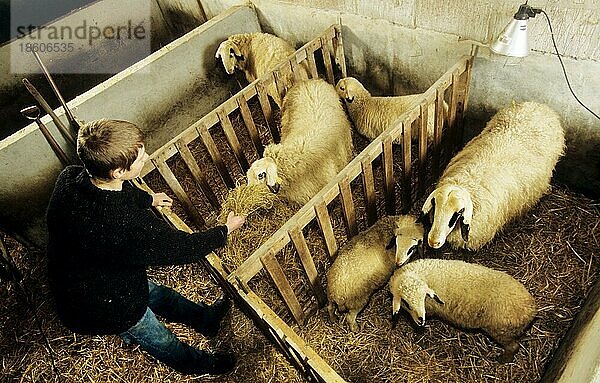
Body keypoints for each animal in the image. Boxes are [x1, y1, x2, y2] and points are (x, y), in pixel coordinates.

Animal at [390, 258, 540, 364]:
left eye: (423, 298)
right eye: (406, 302)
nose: (421, 321)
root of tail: (531, 310)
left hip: (501, 331)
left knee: (513, 347)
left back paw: (503, 360)